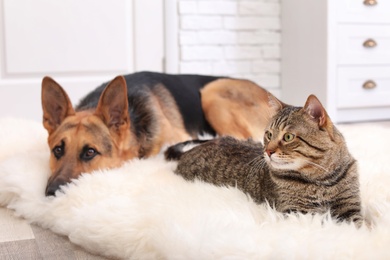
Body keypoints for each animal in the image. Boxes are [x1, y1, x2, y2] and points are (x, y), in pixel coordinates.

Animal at [166, 94, 364, 224]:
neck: (322, 180)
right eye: (269, 134)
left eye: (288, 137)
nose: (267, 151)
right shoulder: (299, 211)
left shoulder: (350, 205)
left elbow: (358, 224)